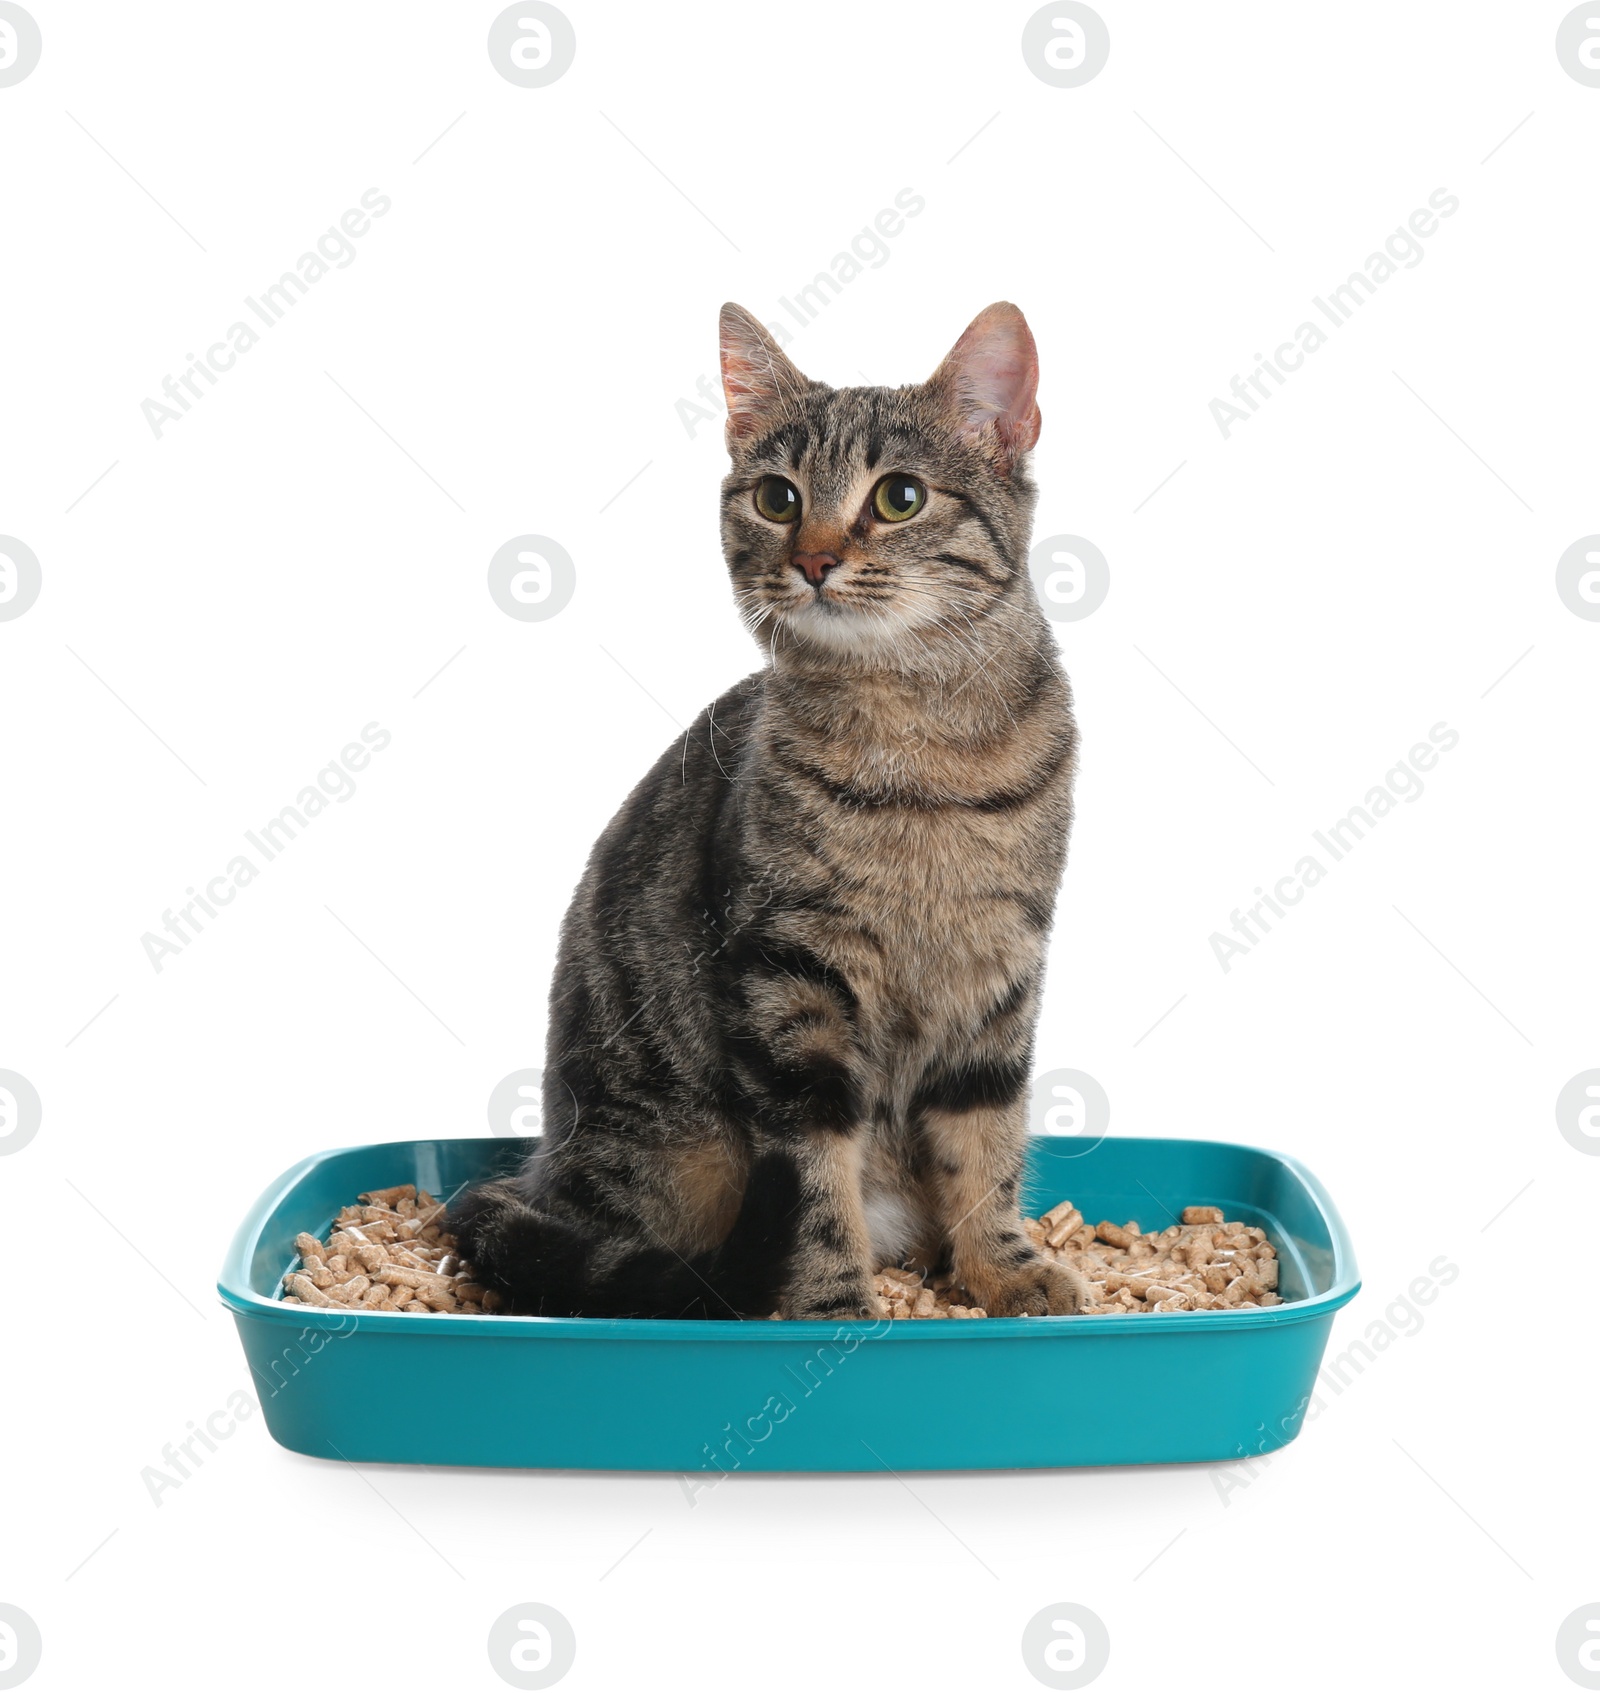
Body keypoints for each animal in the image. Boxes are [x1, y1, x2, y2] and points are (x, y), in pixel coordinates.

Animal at [457, 297, 1090, 1313]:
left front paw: (1004, 1267)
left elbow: (986, 1141)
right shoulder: (790, 982)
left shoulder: (999, 971)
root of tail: (538, 1172)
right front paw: (834, 1302)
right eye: (778, 499)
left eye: (899, 497)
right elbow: (813, 1176)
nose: (815, 560)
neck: (916, 743)